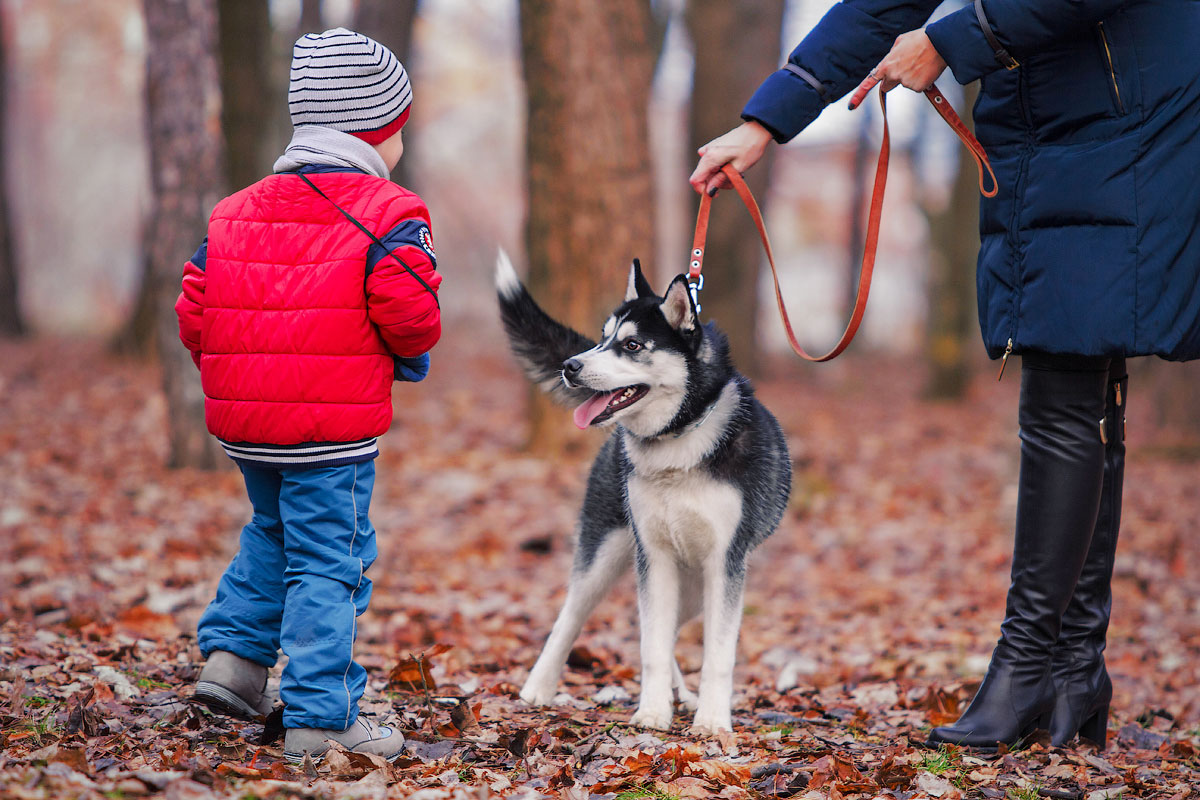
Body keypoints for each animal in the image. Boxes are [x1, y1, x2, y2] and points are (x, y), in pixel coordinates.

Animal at [492, 251, 792, 734]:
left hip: (694, 584)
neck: (678, 442)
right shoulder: (653, 554)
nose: (571, 366)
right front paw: (652, 712)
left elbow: (716, 654)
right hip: (607, 553)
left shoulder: (725, 563)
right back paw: (539, 686)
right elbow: (650, 645)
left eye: (632, 345)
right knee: (573, 615)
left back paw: (683, 694)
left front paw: (712, 721)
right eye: (603, 339)